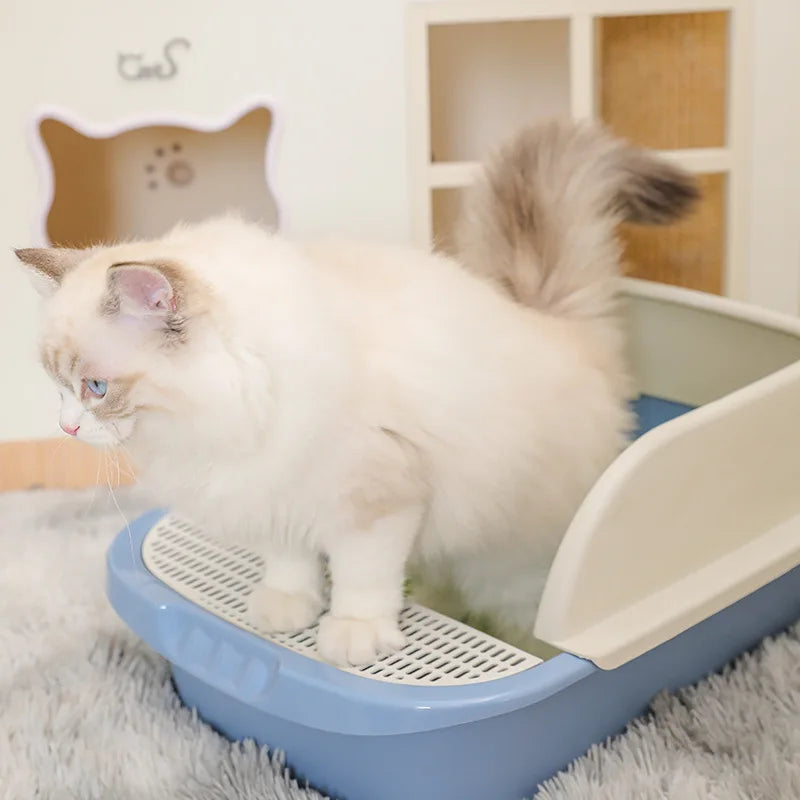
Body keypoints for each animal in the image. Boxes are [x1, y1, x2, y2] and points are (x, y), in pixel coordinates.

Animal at [17, 120, 692, 664]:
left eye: (96, 387)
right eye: (57, 386)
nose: (67, 427)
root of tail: (555, 324)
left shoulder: (375, 502)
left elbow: (362, 580)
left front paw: (351, 636)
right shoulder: (272, 495)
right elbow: (290, 564)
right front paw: (286, 610)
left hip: (511, 569)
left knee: (516, 616)